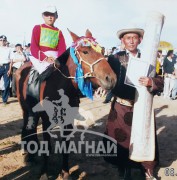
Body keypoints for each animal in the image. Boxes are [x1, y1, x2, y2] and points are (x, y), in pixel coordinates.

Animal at [15, 29, 117, 179]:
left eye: (103, 51)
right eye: (85, 51)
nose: (111, 79)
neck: (60, 84)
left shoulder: (68, 120)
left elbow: (66, 146)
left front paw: (65, 172)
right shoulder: (46, 120)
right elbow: (47, 147)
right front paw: (44, 173)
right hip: (25, 109)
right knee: (26, 127)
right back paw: (28, 155)